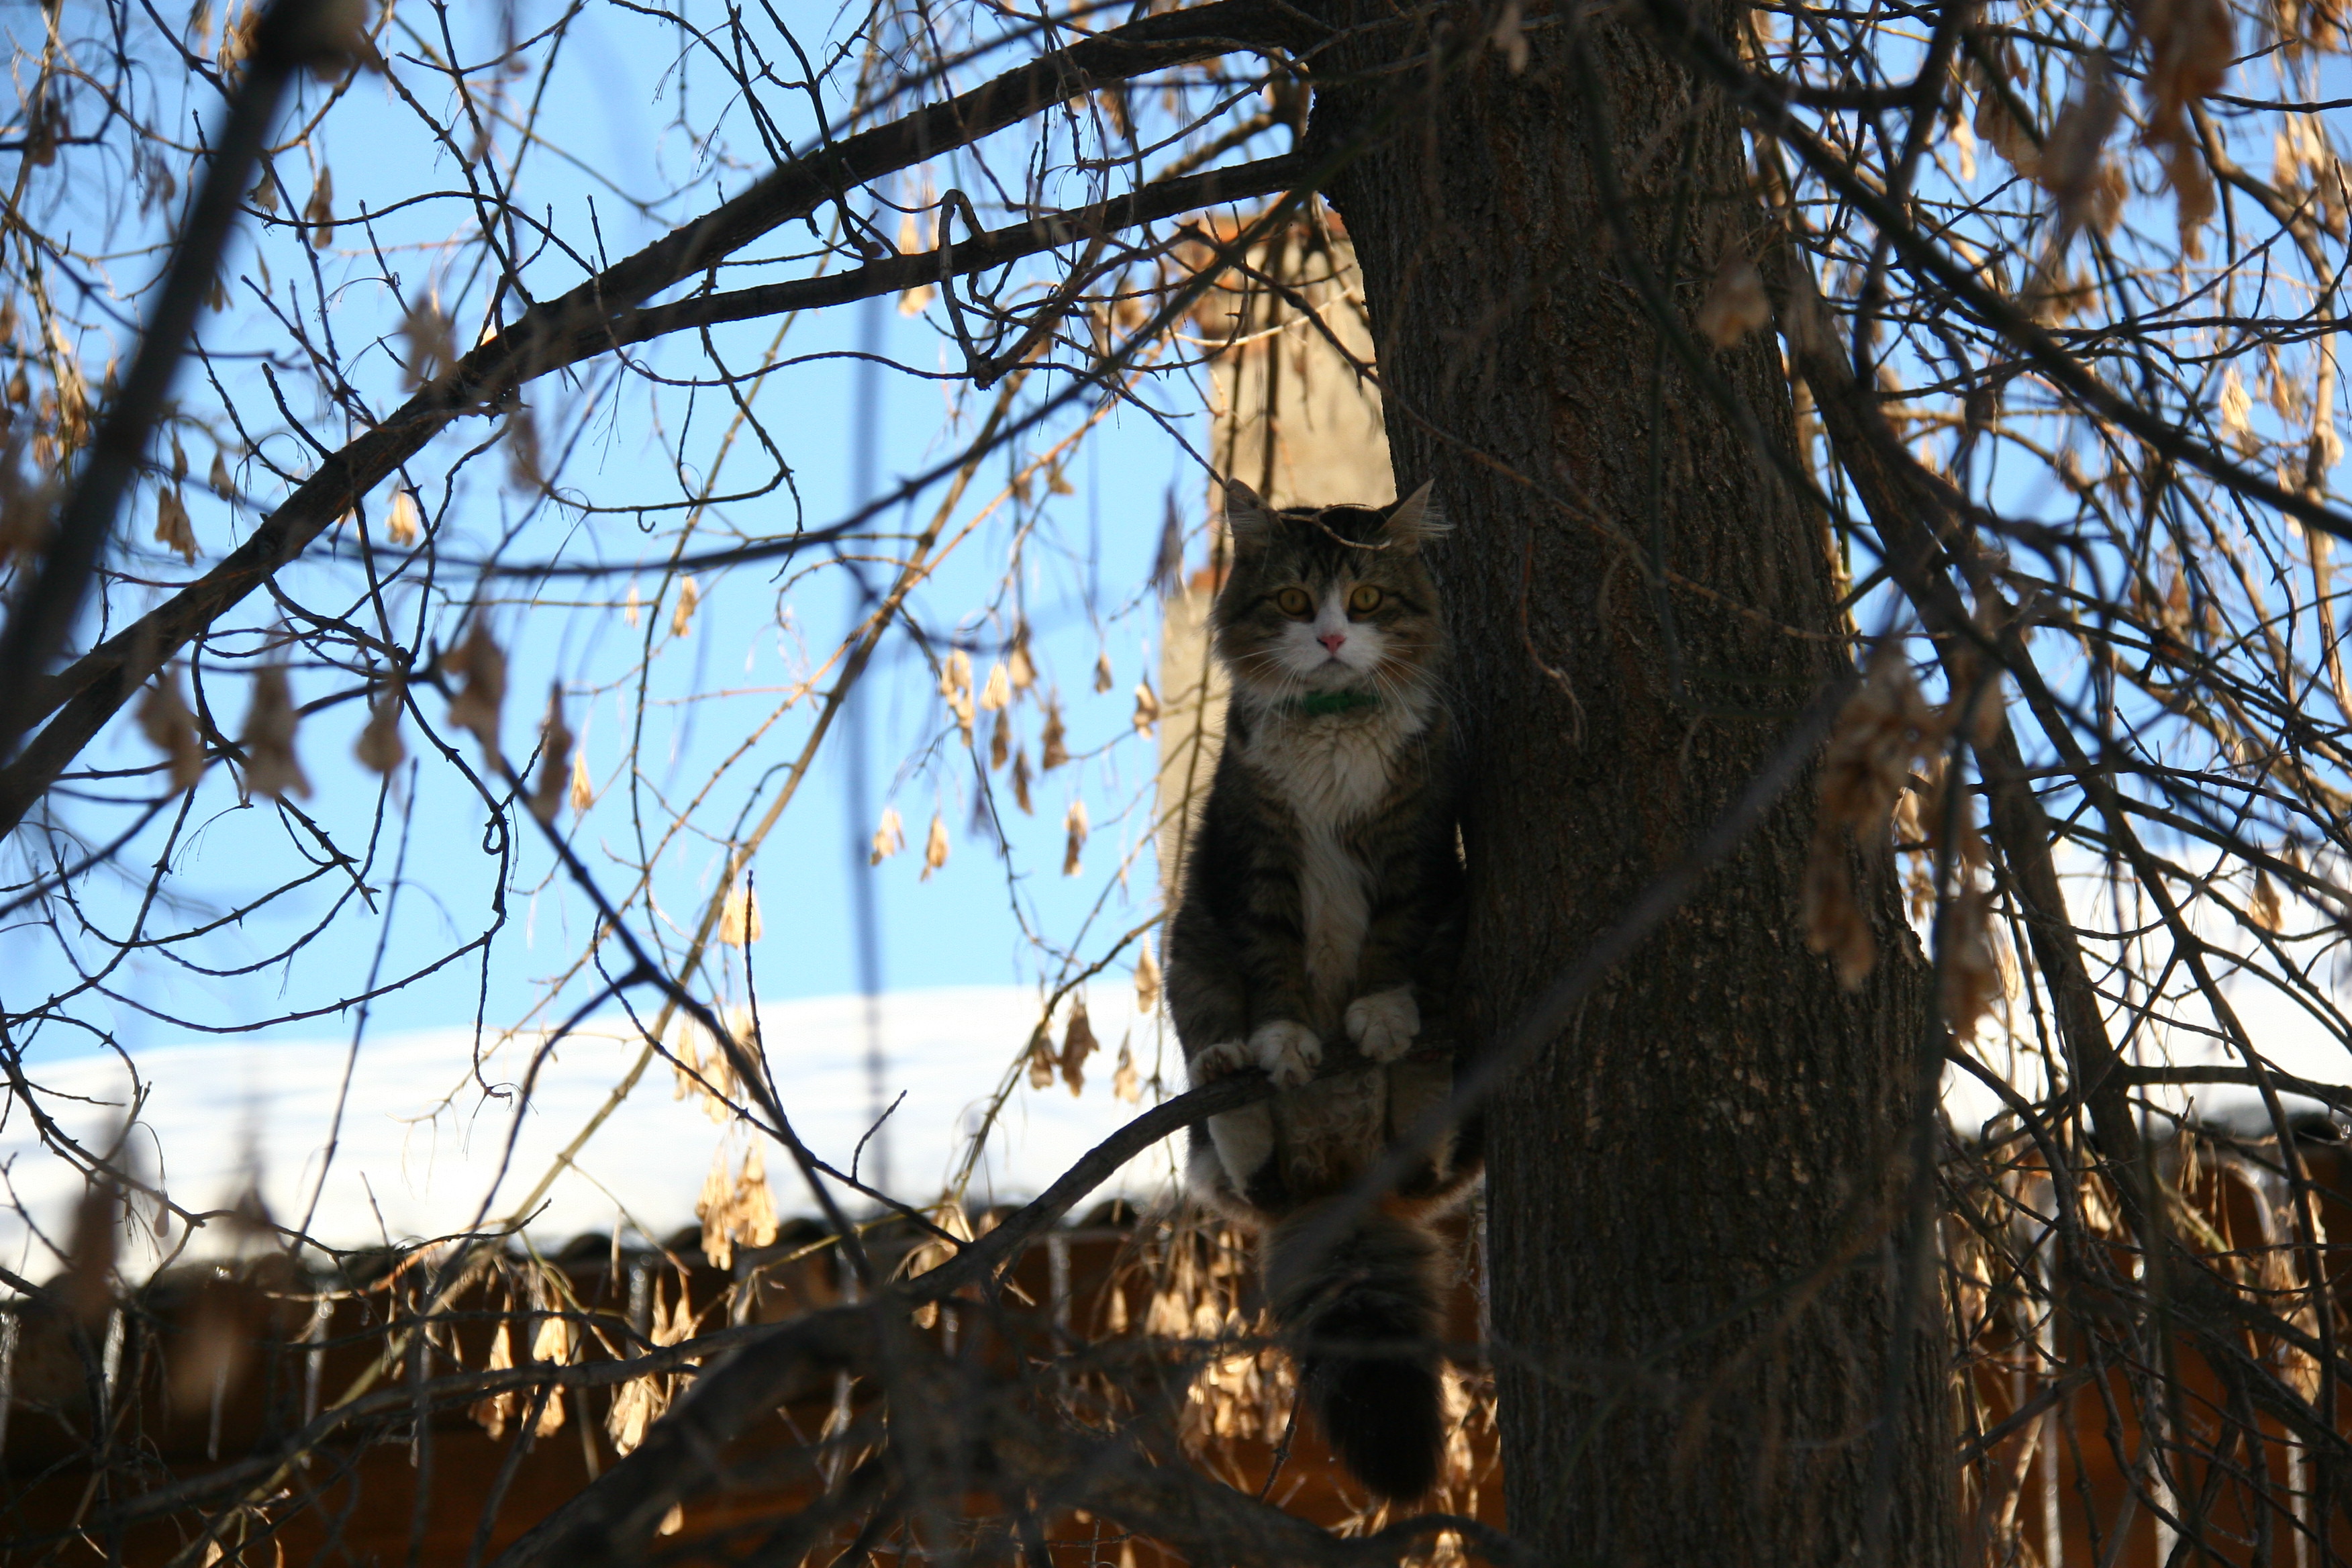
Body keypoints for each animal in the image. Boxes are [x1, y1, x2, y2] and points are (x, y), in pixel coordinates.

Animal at [1166, 472, 1477, 1504]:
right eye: (1298, 600)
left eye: (1368, 600)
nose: (1336, 638)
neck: (1334, 716)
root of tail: (1342, 1186)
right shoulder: (1257, 858)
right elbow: (1277, 968)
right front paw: (1287, 1040)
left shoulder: (1416, 850)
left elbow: (1388, 945)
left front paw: (1377, 1014)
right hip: (1190, 956)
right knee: (1243, 1165)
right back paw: (1235, 1073)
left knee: (1431, 1151)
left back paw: (1418, 1063)